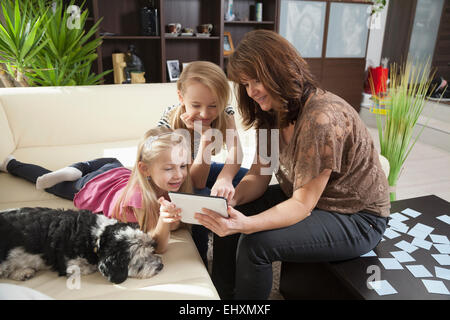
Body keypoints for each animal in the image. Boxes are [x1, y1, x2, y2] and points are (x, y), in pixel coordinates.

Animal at [0, 208, 164, 282]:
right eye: (138, 261)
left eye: (151, 250)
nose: (161, 266)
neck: (96, 236)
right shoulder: (69, 264)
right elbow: (85, 268)